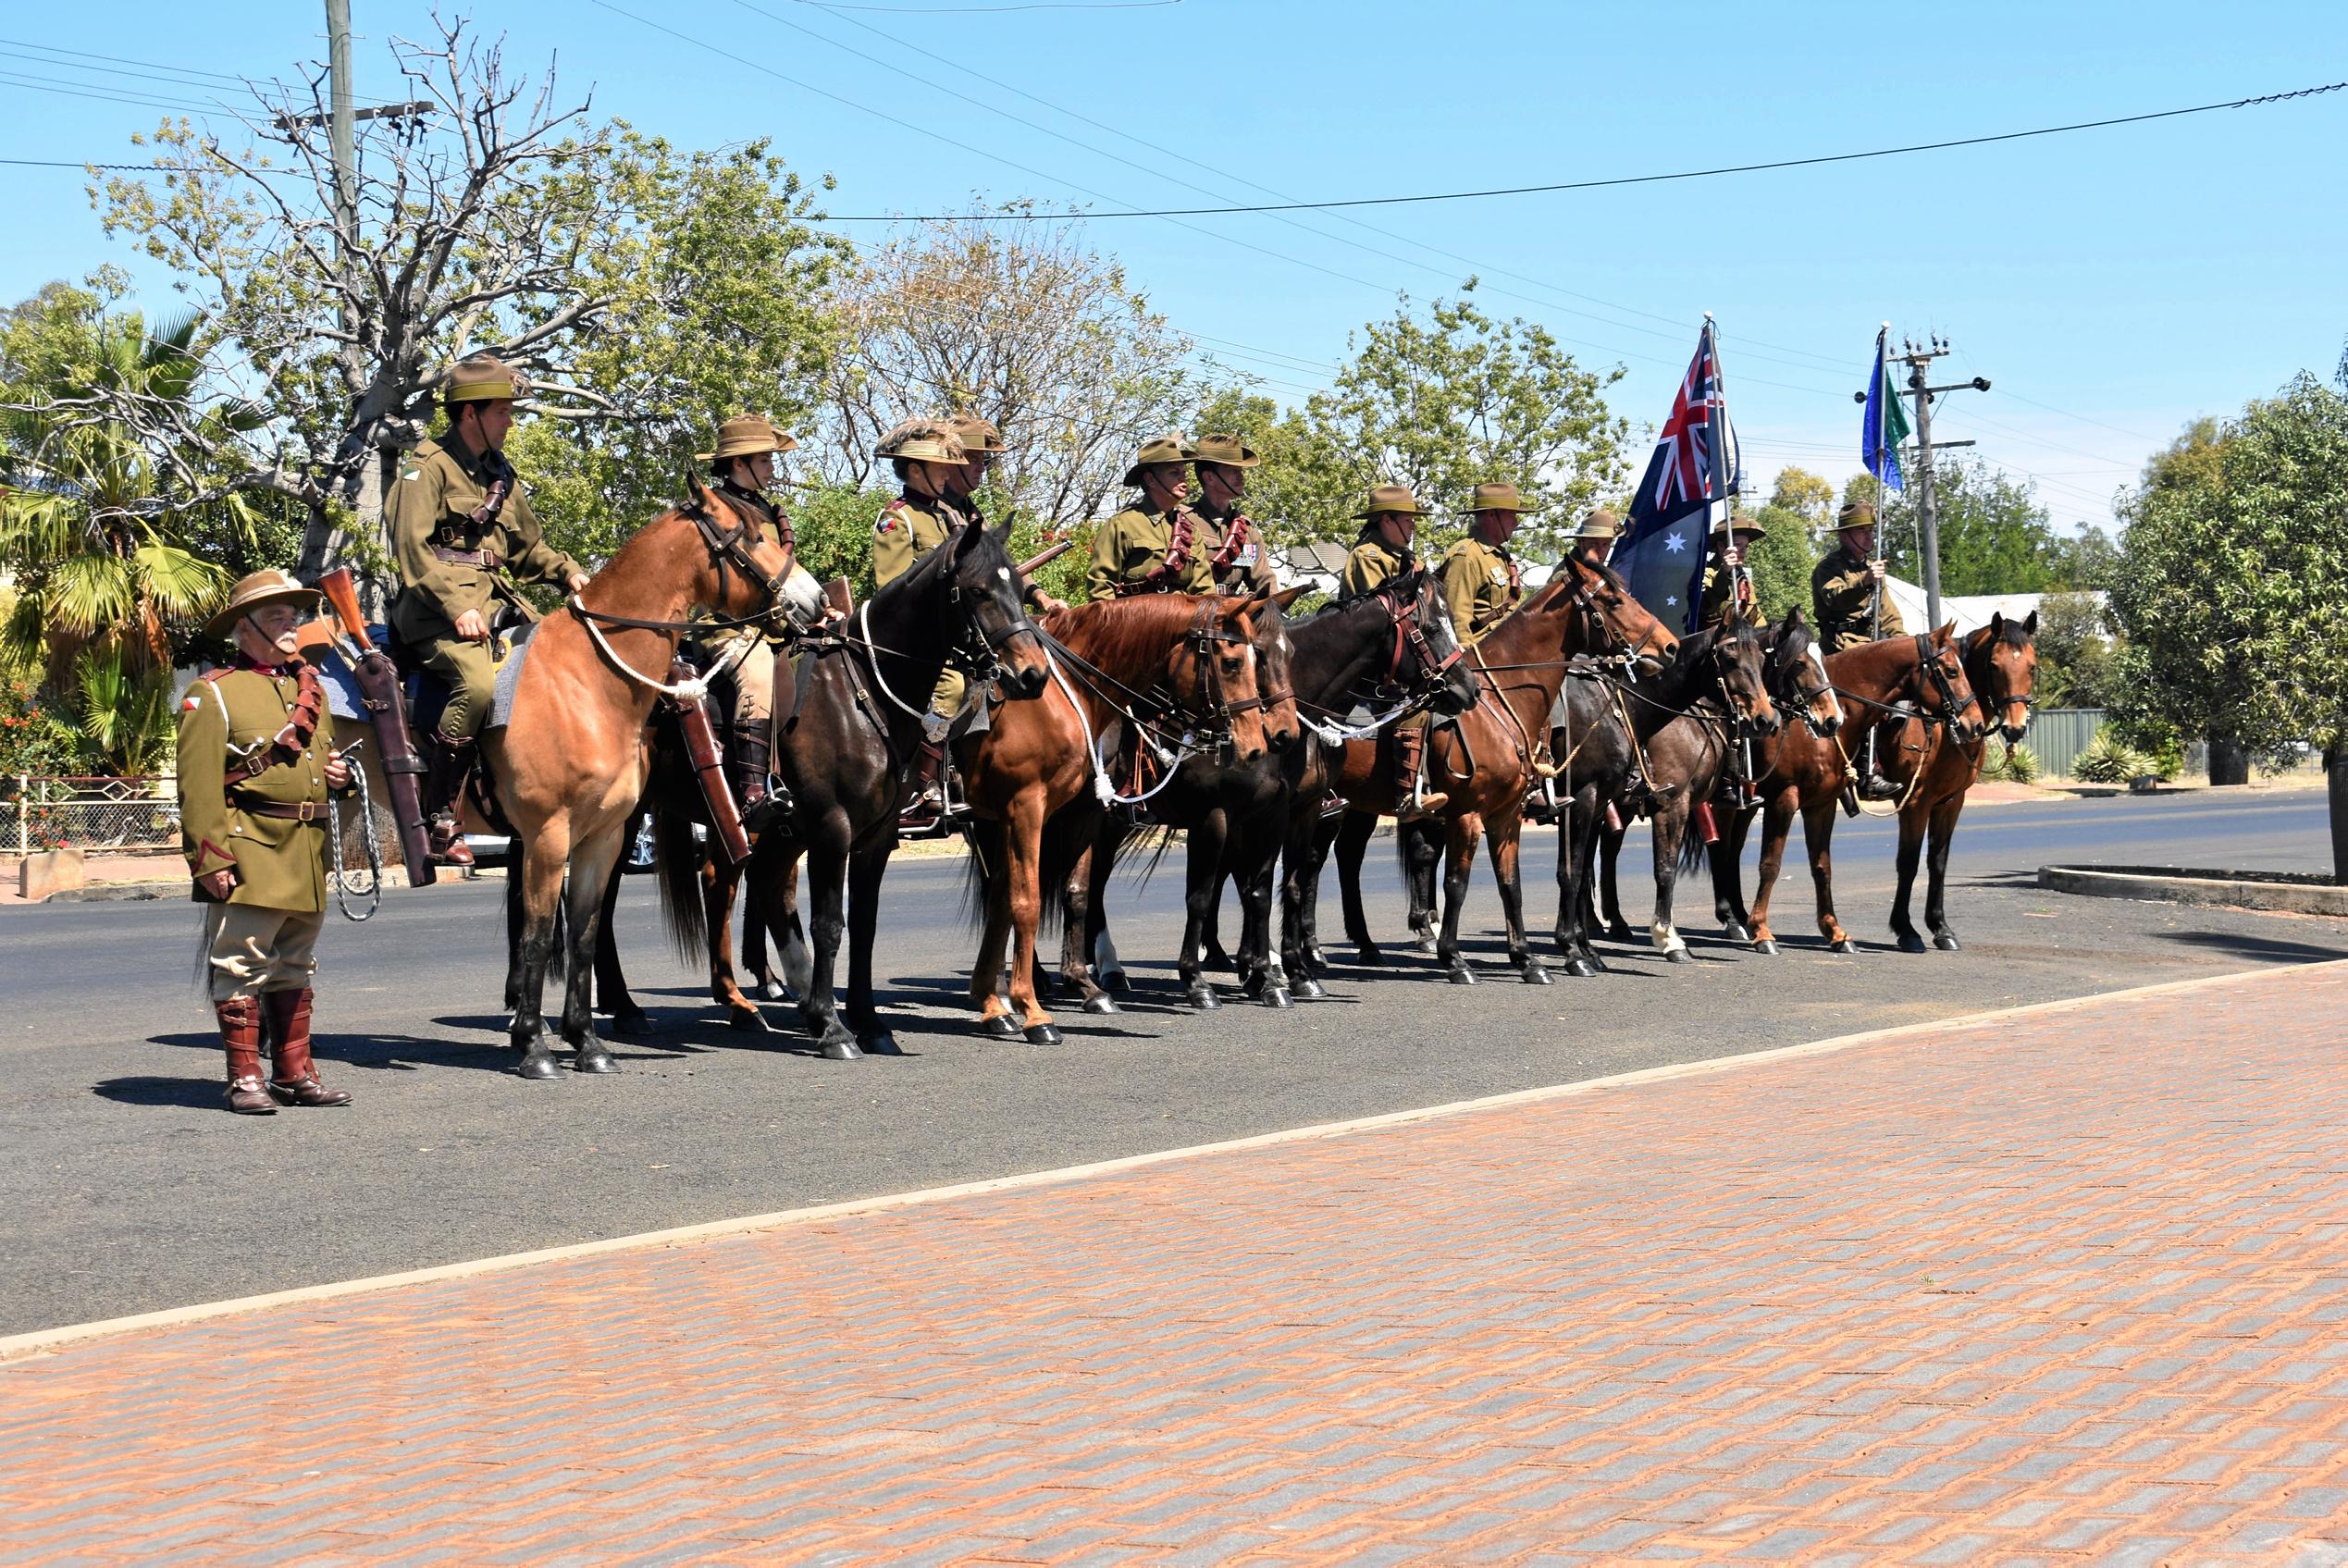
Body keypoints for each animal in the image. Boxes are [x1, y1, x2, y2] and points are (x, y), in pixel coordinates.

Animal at [483, 490, 797, 1080]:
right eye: (754, 538)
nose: (808, 601)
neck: (587, 680)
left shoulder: (601, 834)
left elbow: (582, 932)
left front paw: (585, 1041)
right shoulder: (550, 834)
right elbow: (541, 934)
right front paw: (534, 1046)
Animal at [1315, 556, 1681, 985]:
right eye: (1613, 600)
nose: (1669, 646)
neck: (1500, 703)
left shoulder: (1508, 815)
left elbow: (1512, 884)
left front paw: (1528, 959)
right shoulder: (1471, 813)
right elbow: (1461, 883)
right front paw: (1456, 958)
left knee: (1341, 858)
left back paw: (1354, 947)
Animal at [1539, 610, 1812, 967]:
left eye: (1760, 659)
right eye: (1800, 663)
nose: (1766, 720)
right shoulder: (1672, 804)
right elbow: (1668, 868)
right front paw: (1671, 938)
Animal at [1709, 629, 1982, 957]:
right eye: (1952, 671)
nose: (1975, 724)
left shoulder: (1822, 804)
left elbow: (1822, 867)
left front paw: (1835, 932)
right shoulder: (1785, 799)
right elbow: (1770, 865)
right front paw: (1763, 931)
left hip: (1747, 805)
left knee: (1731, 851)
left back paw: (1738, 918)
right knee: (1720, 850)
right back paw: (1734, 921)